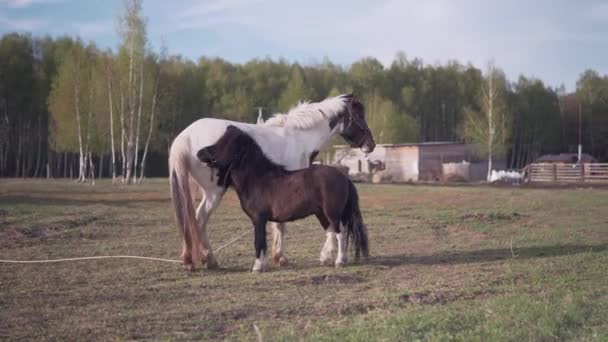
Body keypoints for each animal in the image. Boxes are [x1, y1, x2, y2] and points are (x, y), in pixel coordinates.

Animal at [197, 125, 368, 272]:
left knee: (341, 232)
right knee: (331, 231)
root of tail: (344, 177)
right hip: (321, 214)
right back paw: (326, 259)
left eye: (222, 143)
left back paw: (340, 261)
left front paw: (257, 267)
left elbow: (259, 242)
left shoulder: (259, 219)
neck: (258, 179)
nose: (199, 153)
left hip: (333, 213)